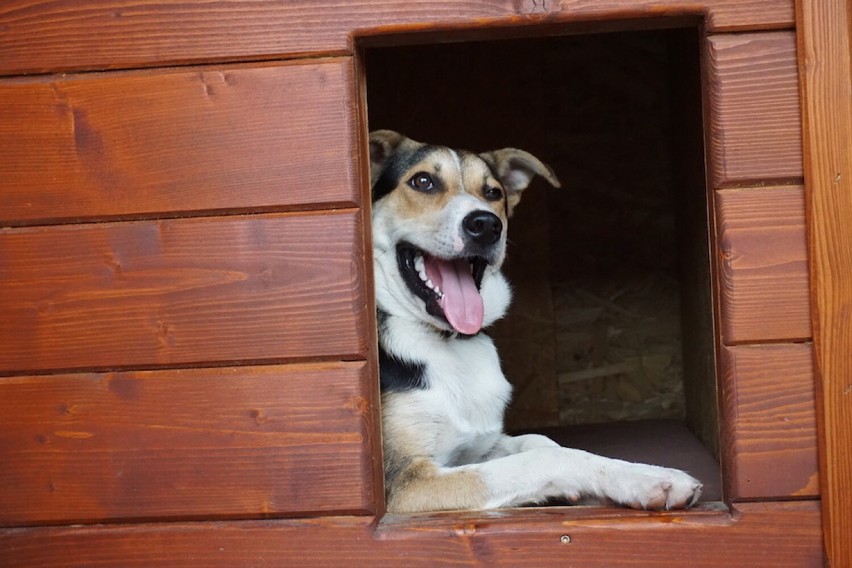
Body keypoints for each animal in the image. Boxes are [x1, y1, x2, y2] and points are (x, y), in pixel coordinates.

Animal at [370, 131, 704, 512]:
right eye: (423, 182)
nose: (486, 224)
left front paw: (635, 476)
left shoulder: (476, 449)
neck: (449, 341)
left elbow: (541, 442)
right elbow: (549, 457)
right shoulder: (406, 484)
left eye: (493, 193)